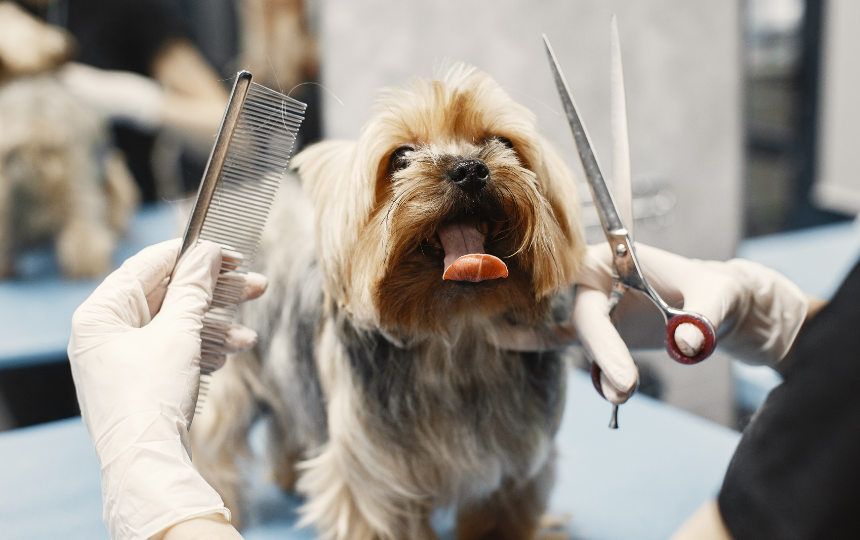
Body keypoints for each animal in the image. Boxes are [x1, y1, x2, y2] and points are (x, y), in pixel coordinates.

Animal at [193, 64, 584, 540]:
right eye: (400, 157)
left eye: (504, 143)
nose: (470, 170)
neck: (457, 331)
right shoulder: (373, 477)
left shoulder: (518, 468)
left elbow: (504, 517)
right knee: (213, 438)